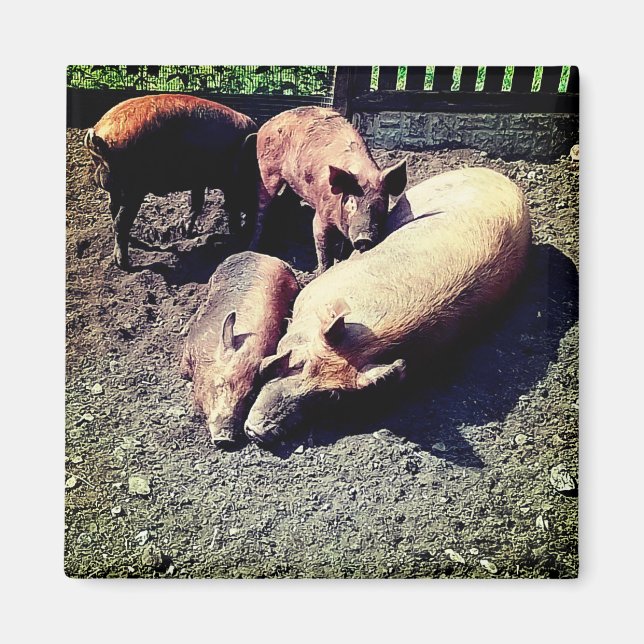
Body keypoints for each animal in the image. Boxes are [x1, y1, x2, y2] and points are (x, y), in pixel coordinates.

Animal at [84, 94, 258, 270]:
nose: (249, 230)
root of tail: (99, 134)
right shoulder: (229, 183)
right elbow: (231, 206)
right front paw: (237, 233)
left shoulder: (199, 180)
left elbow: (197, 202)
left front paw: (186, 232)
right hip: (133, 189)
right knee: (120, 222)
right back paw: (124, 264)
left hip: (117, 189)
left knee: (113, 209)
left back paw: (133, 242)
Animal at [249, 106, 408, 274]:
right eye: (351, 203)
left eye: (380, 204)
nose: (364, 238)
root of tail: (266, 124)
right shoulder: (321, 216)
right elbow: (323, 249)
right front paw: (321, 272)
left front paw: (341, 260)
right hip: (266, 172)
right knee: (261, 210)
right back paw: (254, 247)